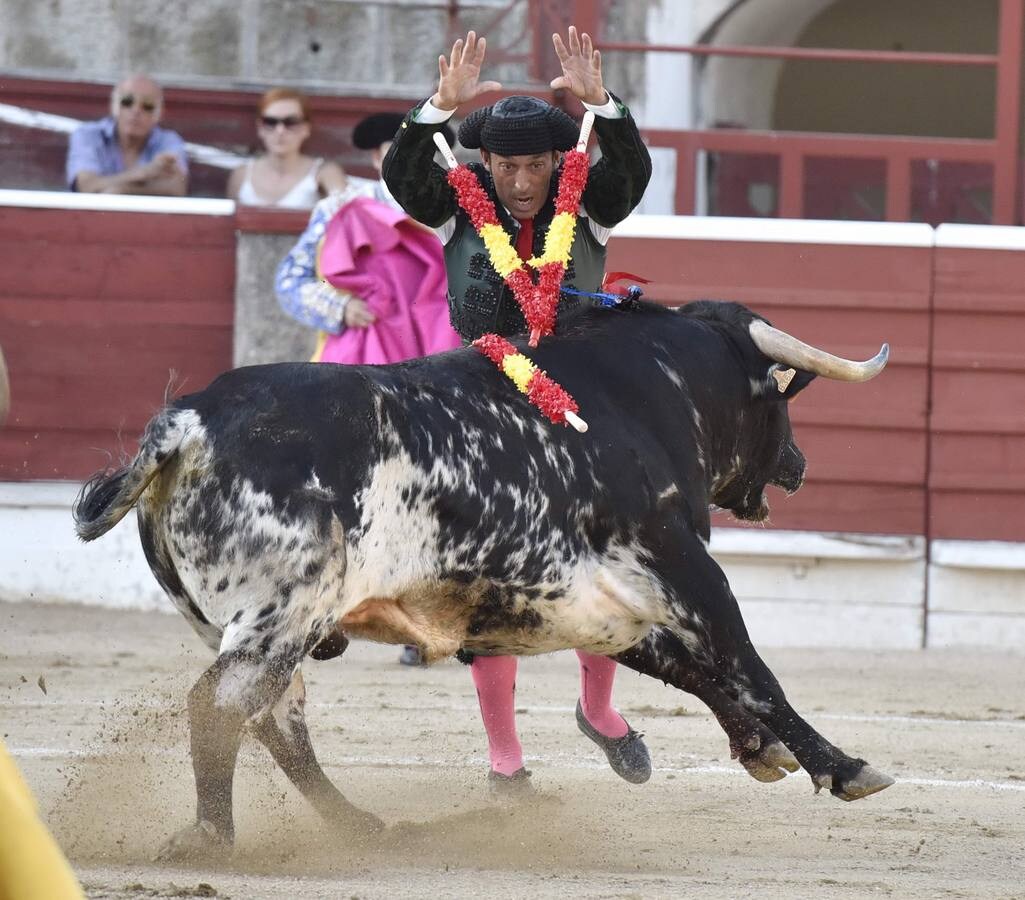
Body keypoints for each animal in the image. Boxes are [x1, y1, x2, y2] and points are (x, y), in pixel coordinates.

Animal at [75, 299, 897, 865]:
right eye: (779, 402)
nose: (798, 464)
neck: (647, 394)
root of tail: (188, 422)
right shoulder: (683, 566)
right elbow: (747, 666)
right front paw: (842, 766)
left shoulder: (597, 604)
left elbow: (695, 669)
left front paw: (761, 750)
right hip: (283, 615)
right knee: (223, 707)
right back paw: (211, 838)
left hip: (246, 623)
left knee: (276, 720)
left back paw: (359, 826)